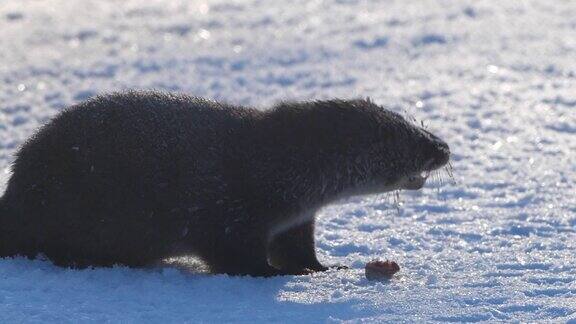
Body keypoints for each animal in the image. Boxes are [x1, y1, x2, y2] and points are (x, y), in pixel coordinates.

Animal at [0, 90, 450, 276]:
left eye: (409, 120)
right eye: (395, 135)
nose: (442, 147)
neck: (274, 168)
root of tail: (15, 194)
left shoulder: (293, 221)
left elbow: (298, 251)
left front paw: (323, 268)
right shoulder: (226, 210)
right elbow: (235, 259)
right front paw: (274, 276)